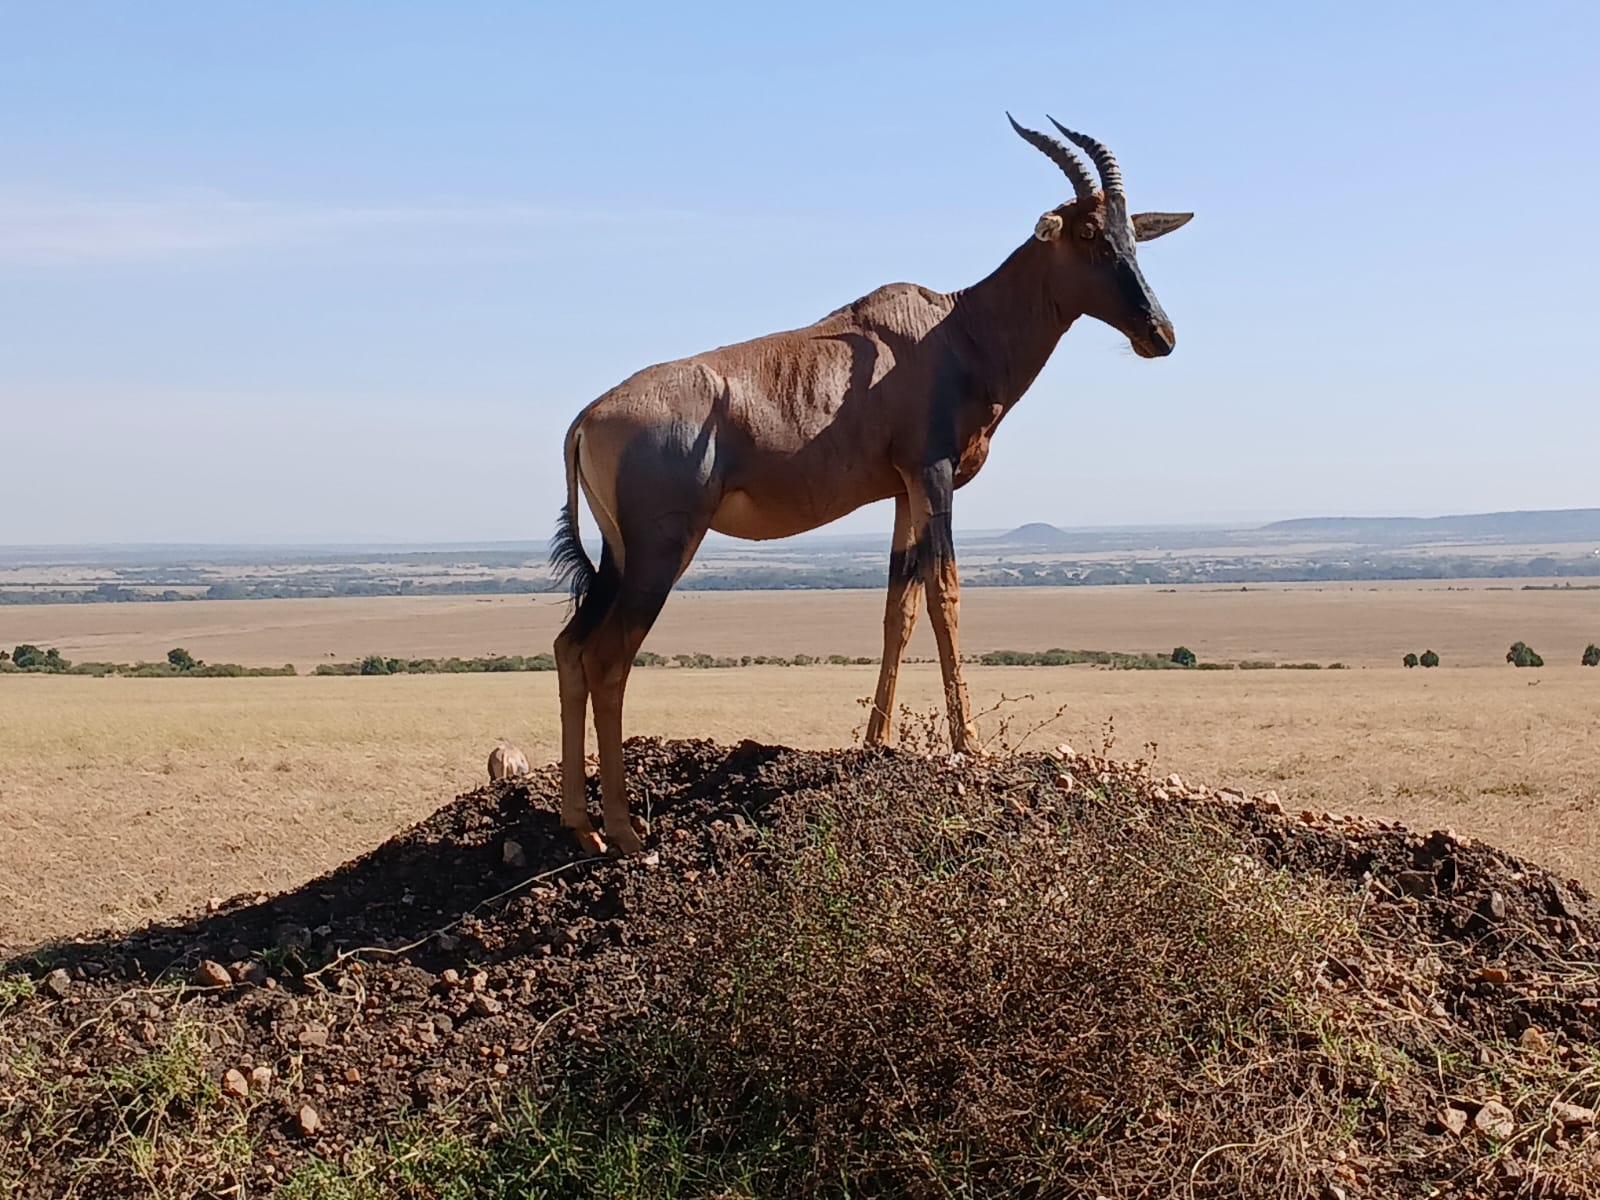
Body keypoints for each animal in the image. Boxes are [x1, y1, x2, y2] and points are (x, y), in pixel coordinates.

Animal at [550, 115, 1192, 855]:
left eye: (1129, 234)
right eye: (1087, 233)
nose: (1160, 335)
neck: (952, 329)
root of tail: (587, 416)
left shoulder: (901, 489)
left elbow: (898, 608)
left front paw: (877, 740)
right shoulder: (933, 473)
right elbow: (945, 593)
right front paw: (968, 744)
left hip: (619, 556)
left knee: (571, 647)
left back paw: (581, 826)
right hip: (662, 551)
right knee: (608, 659)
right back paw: (625, 832)